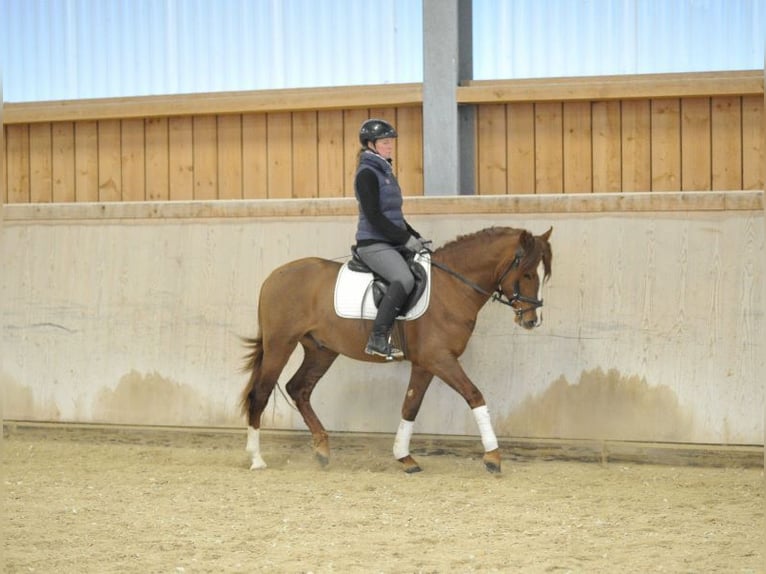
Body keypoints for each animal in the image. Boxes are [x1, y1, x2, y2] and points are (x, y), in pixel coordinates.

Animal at [240, 227, 552, 474]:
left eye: (542, 275)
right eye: (526, 274)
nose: (533, 320)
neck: (452, 287)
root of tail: (274, 276)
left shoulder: (426, 363)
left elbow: (410, 405)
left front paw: (405, 457)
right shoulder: (440, 359)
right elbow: (474, 395)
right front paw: (493, 457)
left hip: (321, 350)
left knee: (299, 388)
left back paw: (322, 451)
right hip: (280, 344)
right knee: (261, 393)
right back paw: (257, 459)